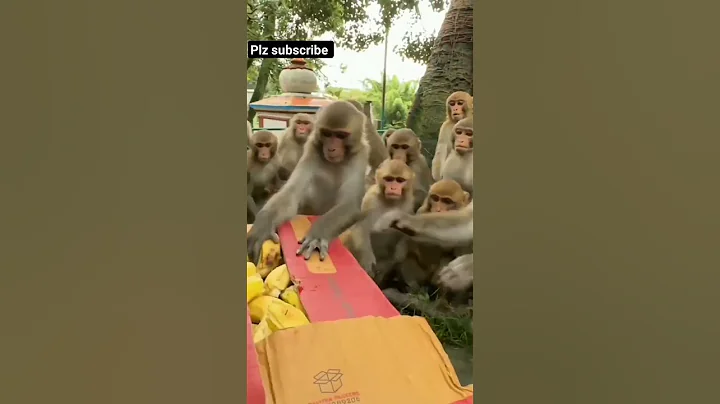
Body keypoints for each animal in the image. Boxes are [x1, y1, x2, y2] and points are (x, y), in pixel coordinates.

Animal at [247, 100, 370, 264]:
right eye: (327, 133)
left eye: (340, 135)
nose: (331, 148)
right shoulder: (312, 148)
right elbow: (292, 192)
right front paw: (262, 227)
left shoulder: (360, 155)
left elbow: (350, 203)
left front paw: (318, 234)